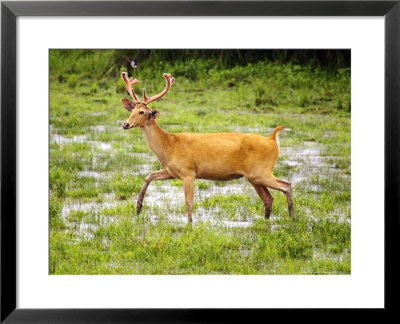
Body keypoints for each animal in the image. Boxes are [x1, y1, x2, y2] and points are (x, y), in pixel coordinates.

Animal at [119, 72, 294, 221]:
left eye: (142, 112)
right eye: (131, 110)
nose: (125, 124)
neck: (169, 146)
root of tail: (272, 140)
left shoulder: (188, 172)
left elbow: (189, 203)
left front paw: (190, 226)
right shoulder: (171, 171)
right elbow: (148, 176)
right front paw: (138, 207)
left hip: (261, 171)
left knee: (286, 185)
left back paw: (292, 218)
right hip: (254, 176)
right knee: (268, 198)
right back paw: (268, 221)